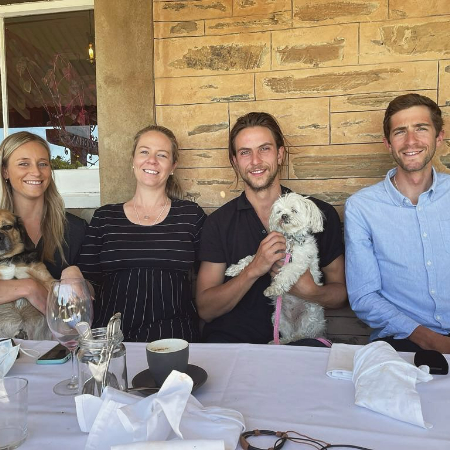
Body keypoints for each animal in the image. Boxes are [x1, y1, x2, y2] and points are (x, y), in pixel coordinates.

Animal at [227, 193, 326, 344]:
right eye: (279, 211)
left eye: (294, 210)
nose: (284, 216)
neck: (290, 240)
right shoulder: (270, 254)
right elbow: (251, 259)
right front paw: (235, 269)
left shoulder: (299, 263)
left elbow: (286, 273)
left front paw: (273, 288)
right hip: (279, 319)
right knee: (287, 335)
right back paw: (279, 341)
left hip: (310, 318)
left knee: (303, 334)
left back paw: (297, 337)